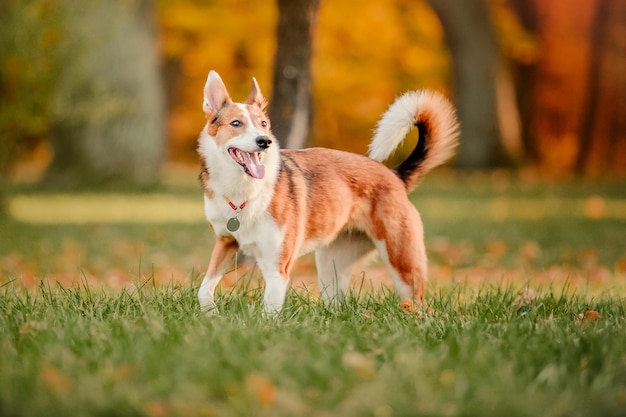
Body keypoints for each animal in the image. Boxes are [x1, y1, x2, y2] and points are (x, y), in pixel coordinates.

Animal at [196, 70, 458, 312]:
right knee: (336, 305)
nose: (264, 141)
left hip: (402, 263)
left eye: (263, 125)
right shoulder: (226, 244)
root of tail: (395, 176)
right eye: (236, 123)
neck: (244, 192)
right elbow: (203, 290)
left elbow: (269, 311)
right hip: (329, 265)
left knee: (419, 304)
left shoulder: (277, 267)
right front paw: (211, 315)